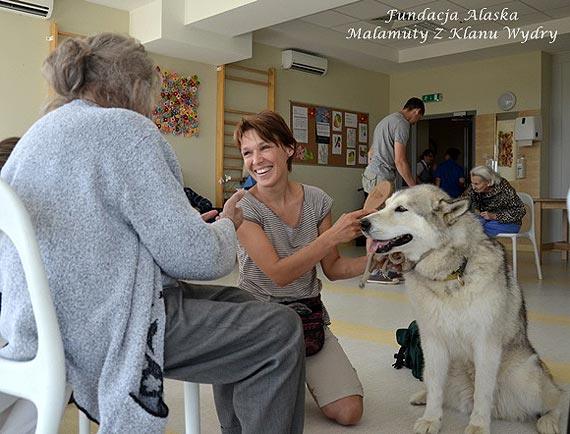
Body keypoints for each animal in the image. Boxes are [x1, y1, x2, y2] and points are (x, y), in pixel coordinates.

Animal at [360, 186, 560, 434]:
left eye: (401, 209)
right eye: (385, 205)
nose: (362, 223)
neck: (450, 275)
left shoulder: (485, 345)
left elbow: (482, 392)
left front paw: (478, 425)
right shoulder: (432, 342)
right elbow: (436, 388)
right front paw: (431, 420)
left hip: (527, 379)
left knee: (555, 400)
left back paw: (548, 421)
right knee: (437, 388)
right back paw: (422, 396)